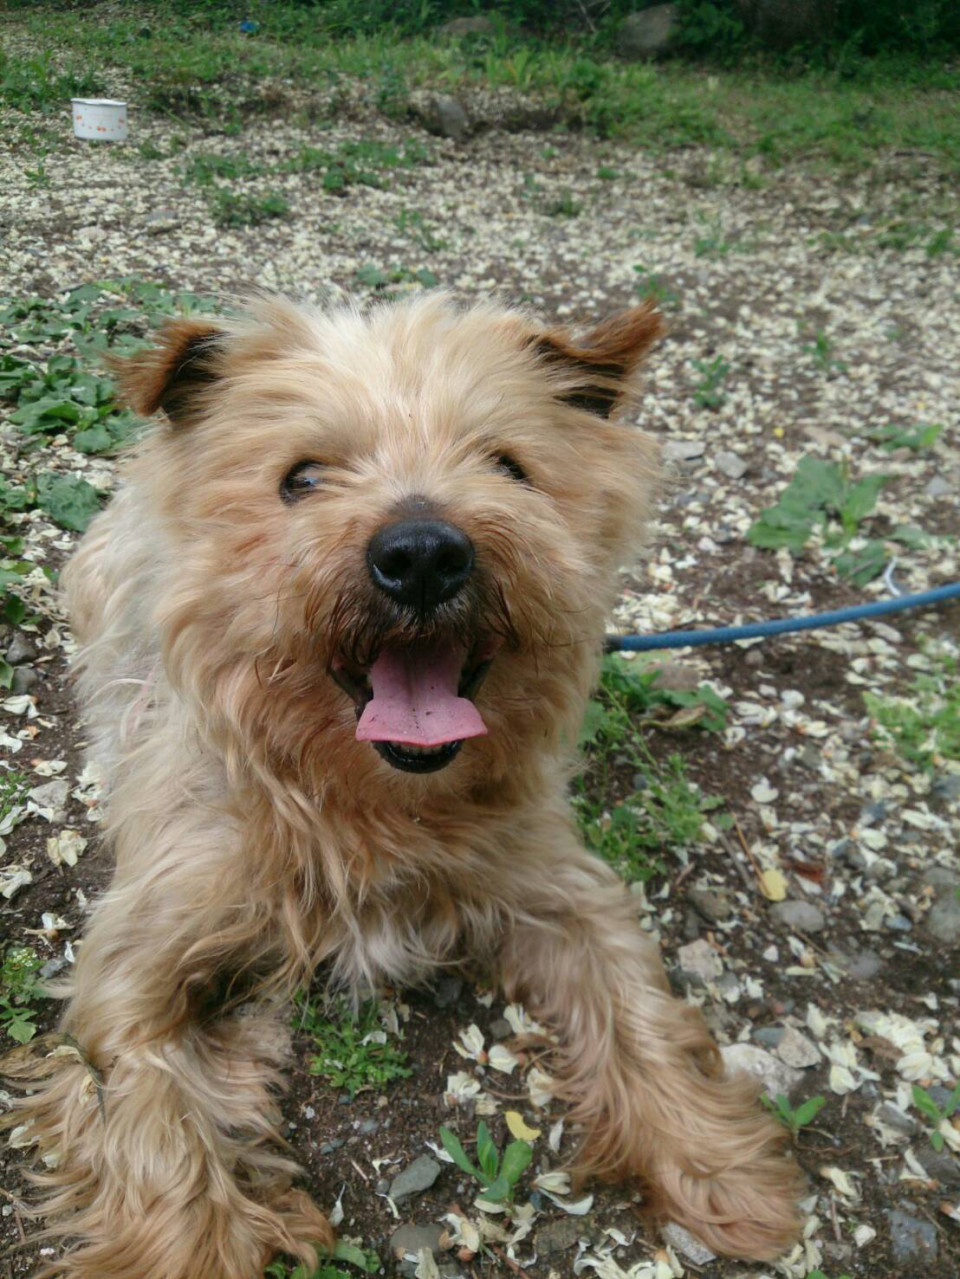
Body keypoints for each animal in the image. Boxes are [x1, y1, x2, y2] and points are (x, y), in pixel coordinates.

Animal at [5, 293, 803, 1277]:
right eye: (302, 478)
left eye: (508, 466)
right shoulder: (138, 956)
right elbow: (151, 1116)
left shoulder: (563, 885)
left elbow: (636, 1004)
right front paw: (190, 1246)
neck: (370, 805)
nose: (423, 551)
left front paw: (715, 1161)